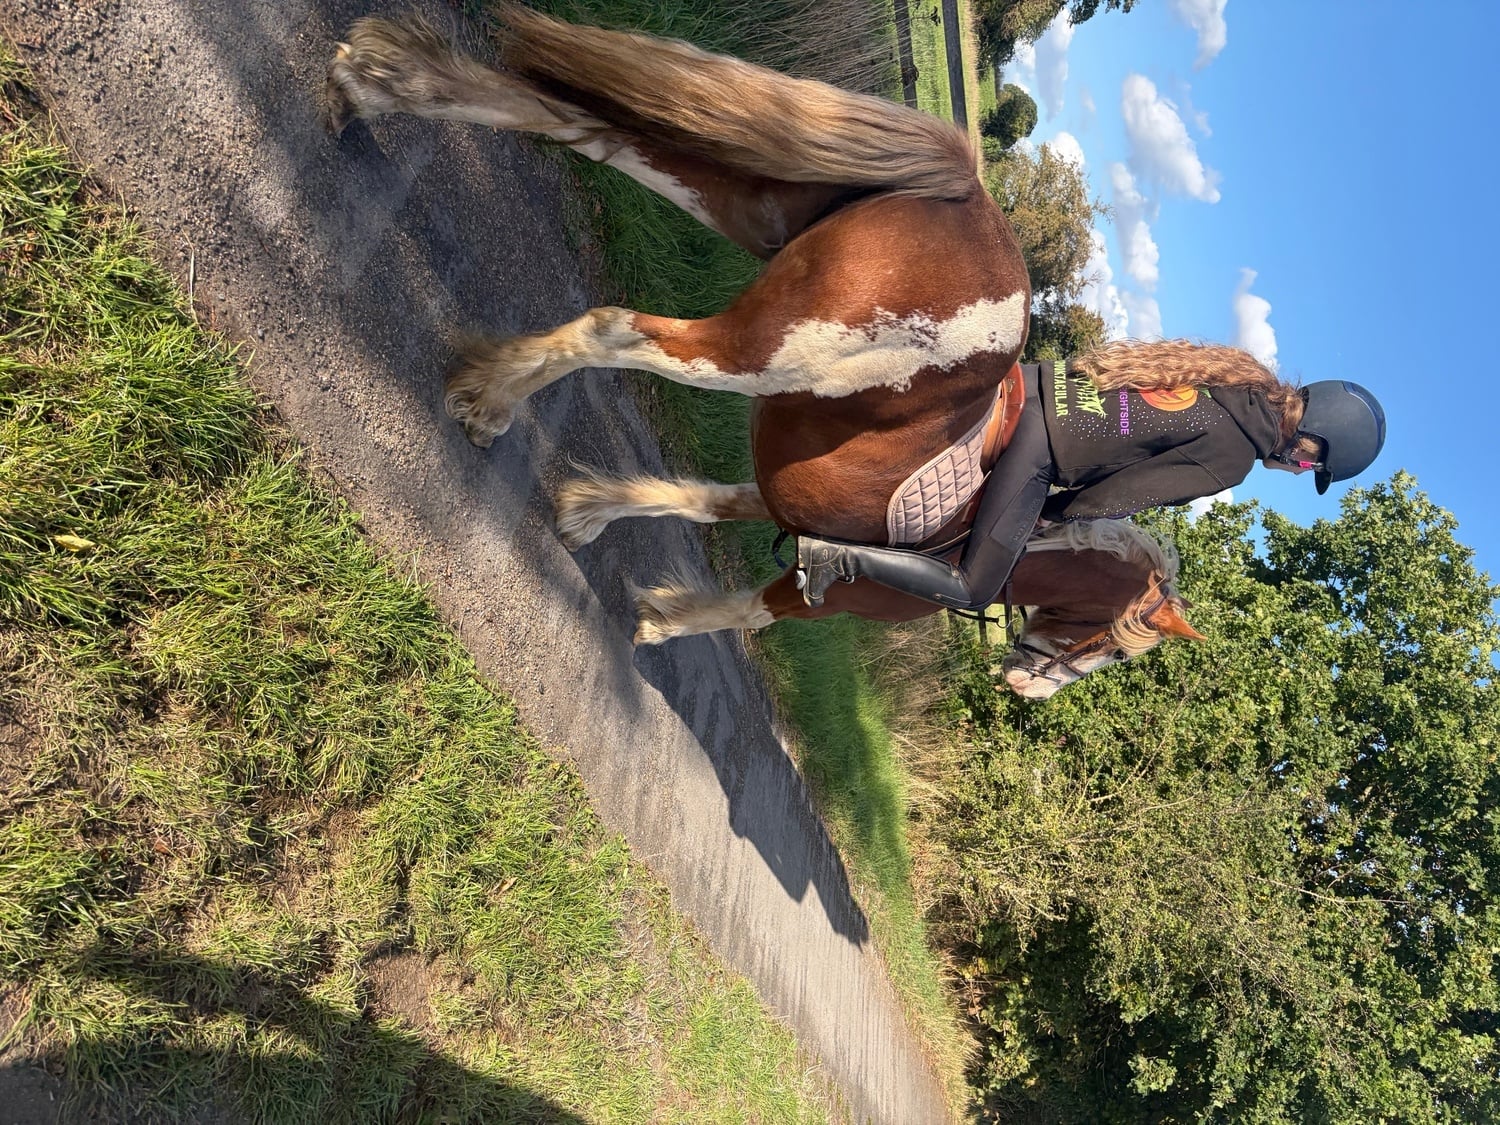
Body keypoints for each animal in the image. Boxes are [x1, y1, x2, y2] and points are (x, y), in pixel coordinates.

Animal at [323, 5, 1203, 698]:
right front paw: (660, 626)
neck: (1021, 546)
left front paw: (592, 510)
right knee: (616, 328)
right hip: (761, 351)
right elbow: (746, 609)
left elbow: (699, 498)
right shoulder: (832, 587)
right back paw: (490, 398)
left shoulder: (780, 499)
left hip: (753, 205)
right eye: (1104, 646)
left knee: (581, 125)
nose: (1026, 684)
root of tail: (969, 197)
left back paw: (378, 79)